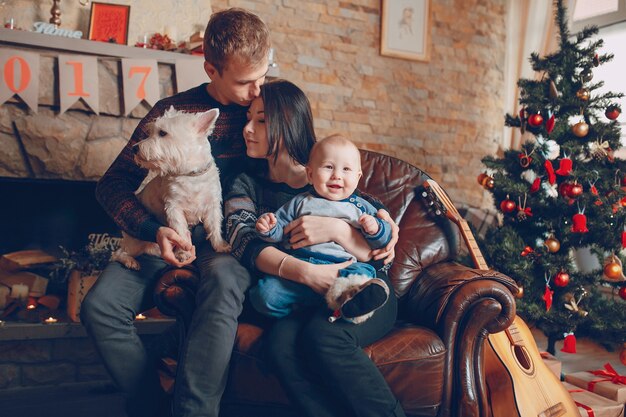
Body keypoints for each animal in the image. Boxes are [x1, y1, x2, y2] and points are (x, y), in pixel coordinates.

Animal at [111, 105, 229, 270]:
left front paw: (221, 246)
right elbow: (181, 232)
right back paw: (130, 262)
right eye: (150, 132)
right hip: (135, 242)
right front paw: (183, 253)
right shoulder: (174, 208)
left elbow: (214, 227)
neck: (190, 175)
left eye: (162, 133)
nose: (134, 148)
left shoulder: (212, 205)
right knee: (117, 253)